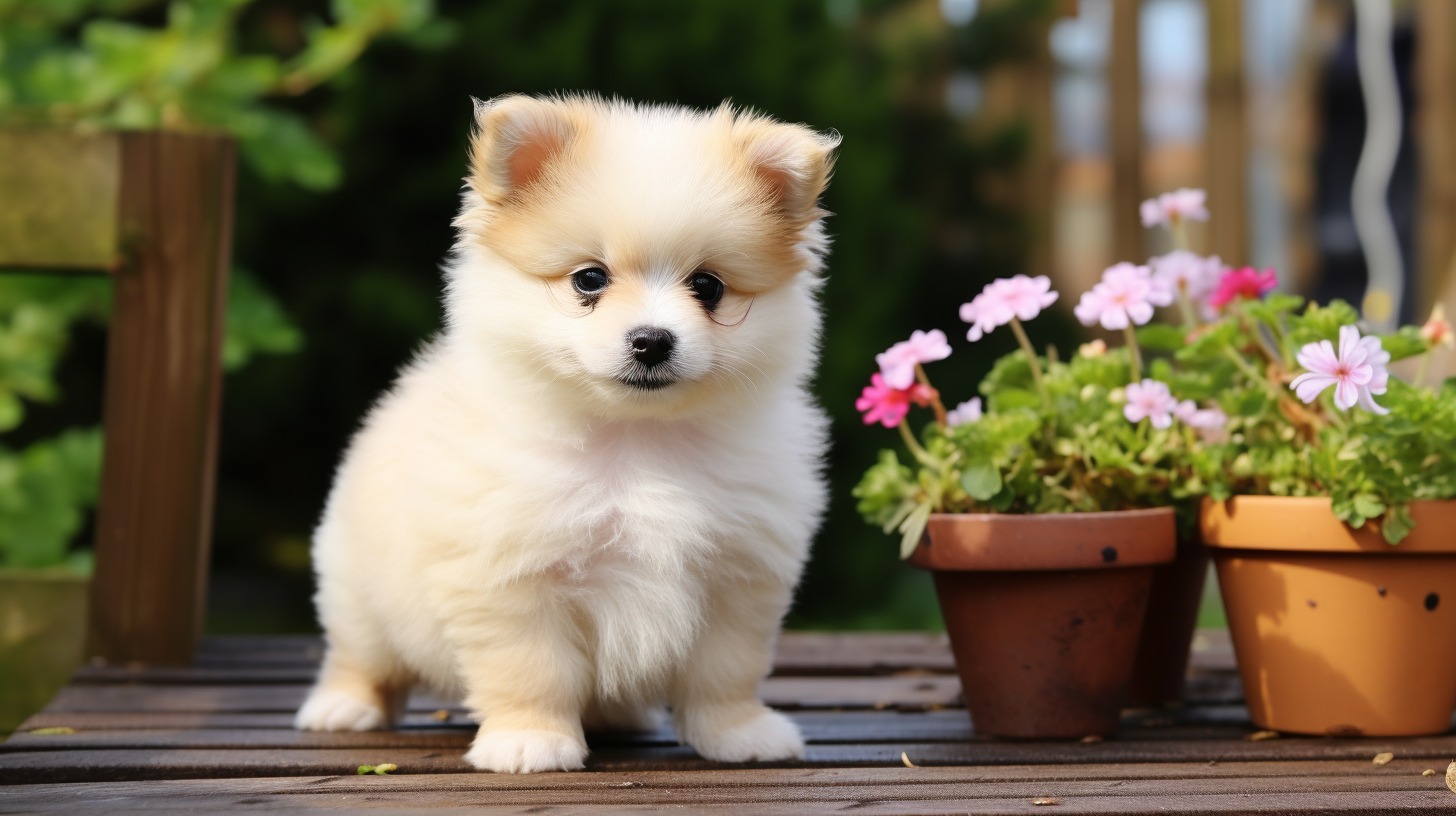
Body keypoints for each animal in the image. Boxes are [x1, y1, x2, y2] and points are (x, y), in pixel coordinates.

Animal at [292, 93, 844, 769]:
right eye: (589, 279)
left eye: (708, 286)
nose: (652, 340)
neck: (636, 439)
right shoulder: (512, 577)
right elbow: (533, 671)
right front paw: (530, 740)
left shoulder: (739, 579)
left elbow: (726, 673)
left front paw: (739, 734)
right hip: (360, 594)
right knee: (362, 658)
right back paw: (344, 707)